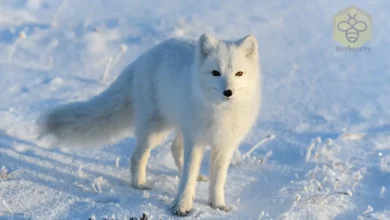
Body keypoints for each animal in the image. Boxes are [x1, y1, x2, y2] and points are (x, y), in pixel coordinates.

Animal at [38, 34, 260, 215]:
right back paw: (139, 185)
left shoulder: (225, 145)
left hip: (178, 126)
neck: (220, 113)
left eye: (239, 74)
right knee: (138, 156)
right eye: (215, 73)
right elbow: (187, 177)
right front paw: (182, 205)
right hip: (155, 130)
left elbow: (218, 179)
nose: (228, 92)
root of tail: (143, 57)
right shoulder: (195, 140)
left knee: (174, 147)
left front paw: (217, 205)